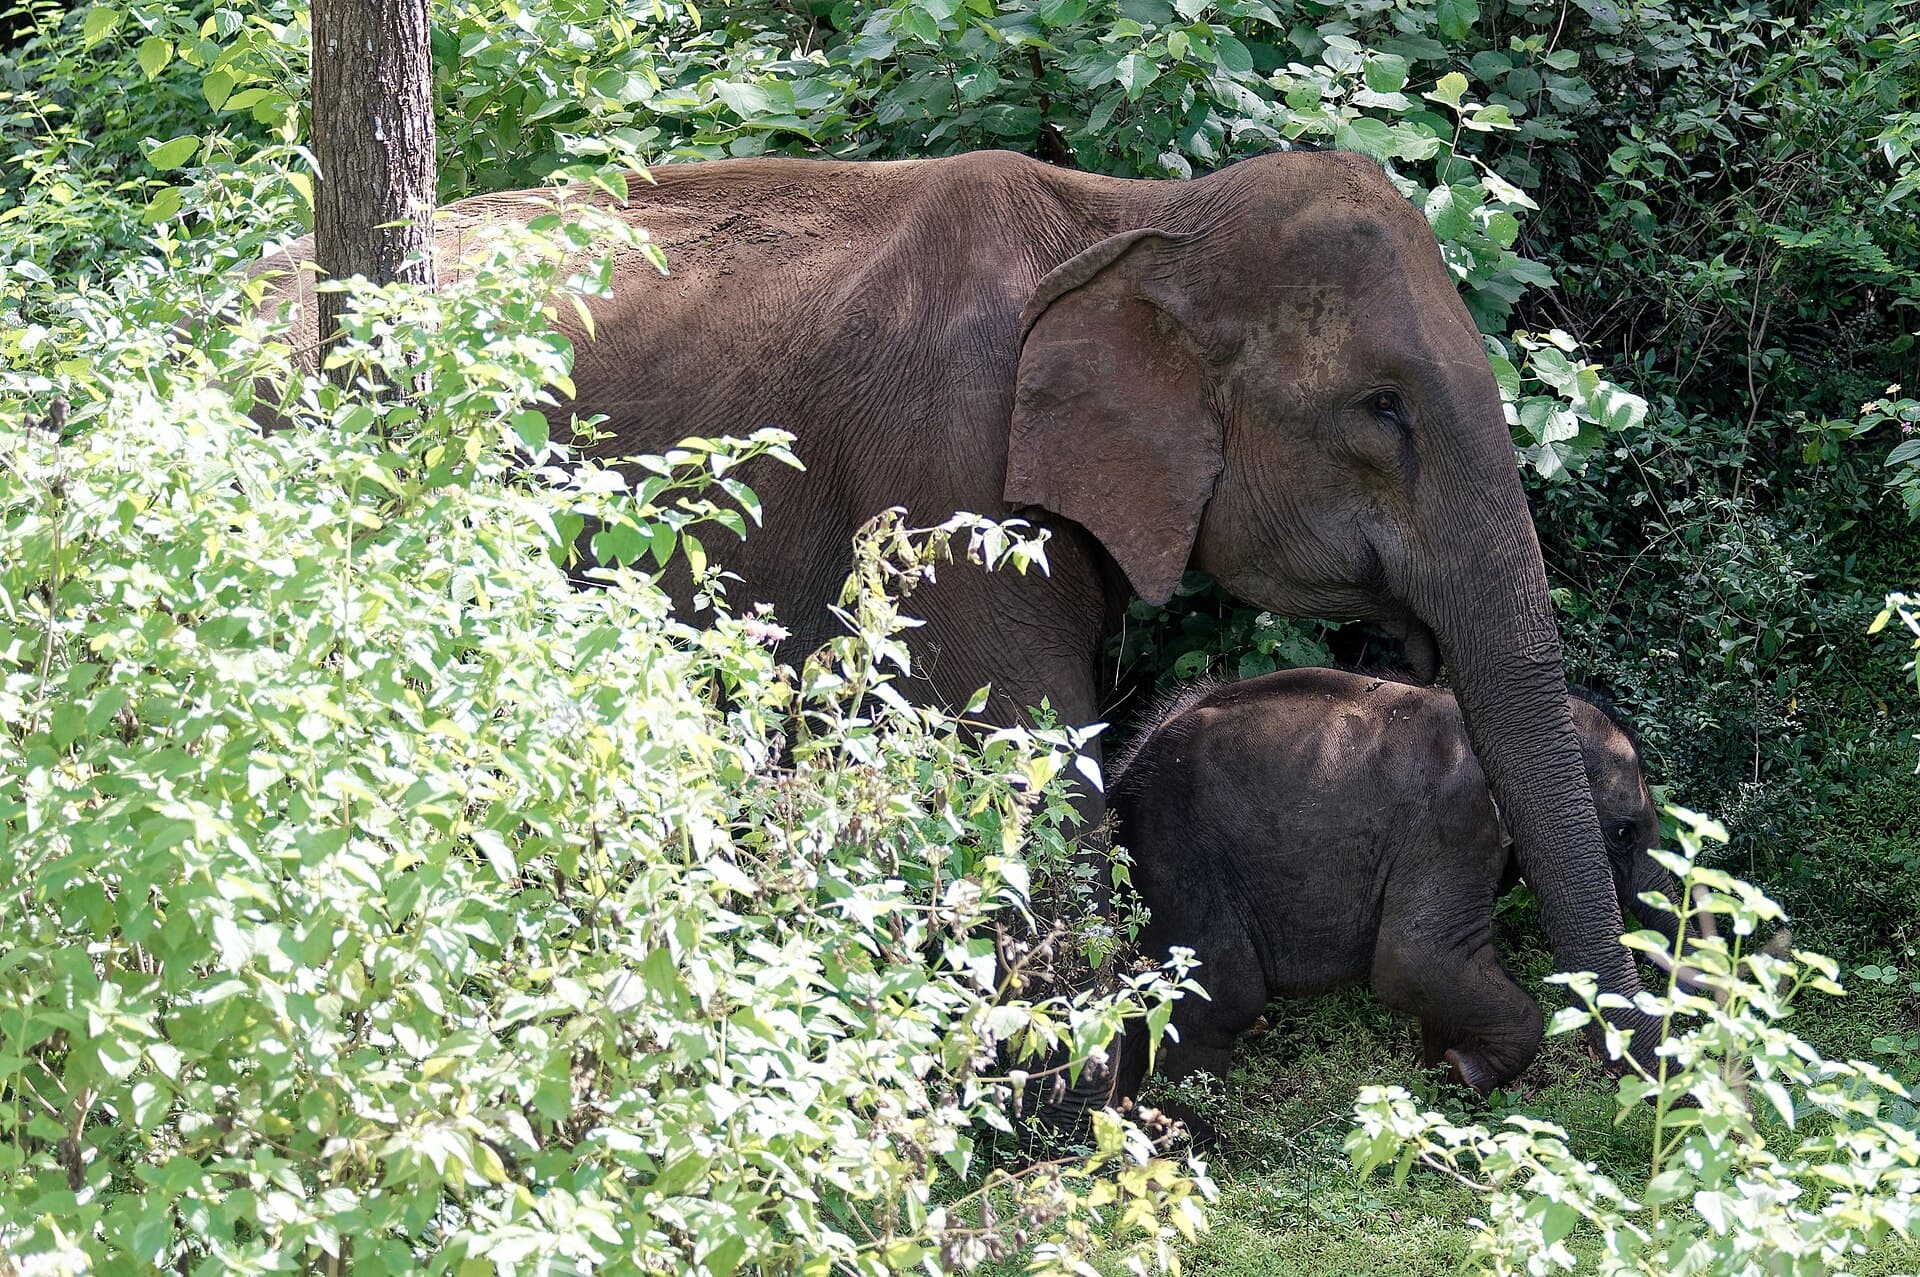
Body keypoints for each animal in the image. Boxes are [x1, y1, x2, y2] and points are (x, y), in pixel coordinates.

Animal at [1103, 667, 1698, 1125]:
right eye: (1622, 832)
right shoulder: (1453, 824)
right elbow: (1413, 960)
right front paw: (1467, 1071)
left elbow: (1439, 971)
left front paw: (1450, 1078)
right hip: (1176, 857)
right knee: (1217, 1001)